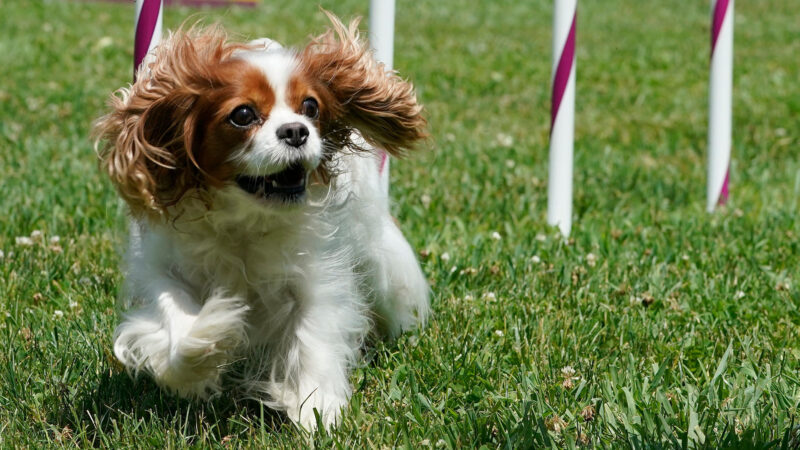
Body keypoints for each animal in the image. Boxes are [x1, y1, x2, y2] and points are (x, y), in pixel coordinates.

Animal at [92, 13, 432, 428]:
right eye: (243, 115)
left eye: (310, 107)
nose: (297, 130)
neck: (246, 217)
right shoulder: (160, 267)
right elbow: (176, 321)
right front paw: (213, 334)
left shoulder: (316, 275)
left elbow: (314, 338)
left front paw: (319, 413)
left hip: (377, 256)